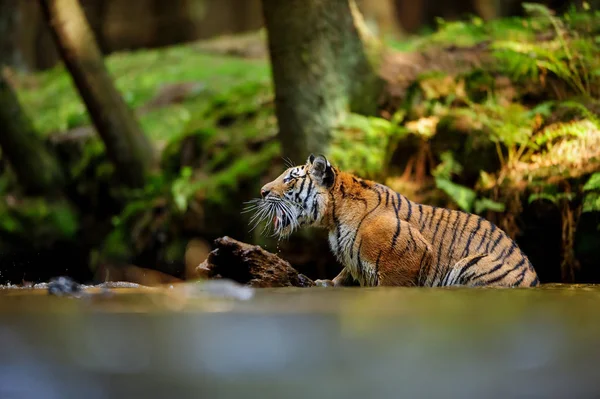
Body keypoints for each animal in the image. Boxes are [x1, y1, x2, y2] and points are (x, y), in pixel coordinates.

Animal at [244, 153, 540, 288]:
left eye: (290, 179)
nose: (262, 191)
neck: (333, 219)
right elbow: (345, 274)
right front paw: (323, 283)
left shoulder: (408, 256)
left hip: (473, 264)